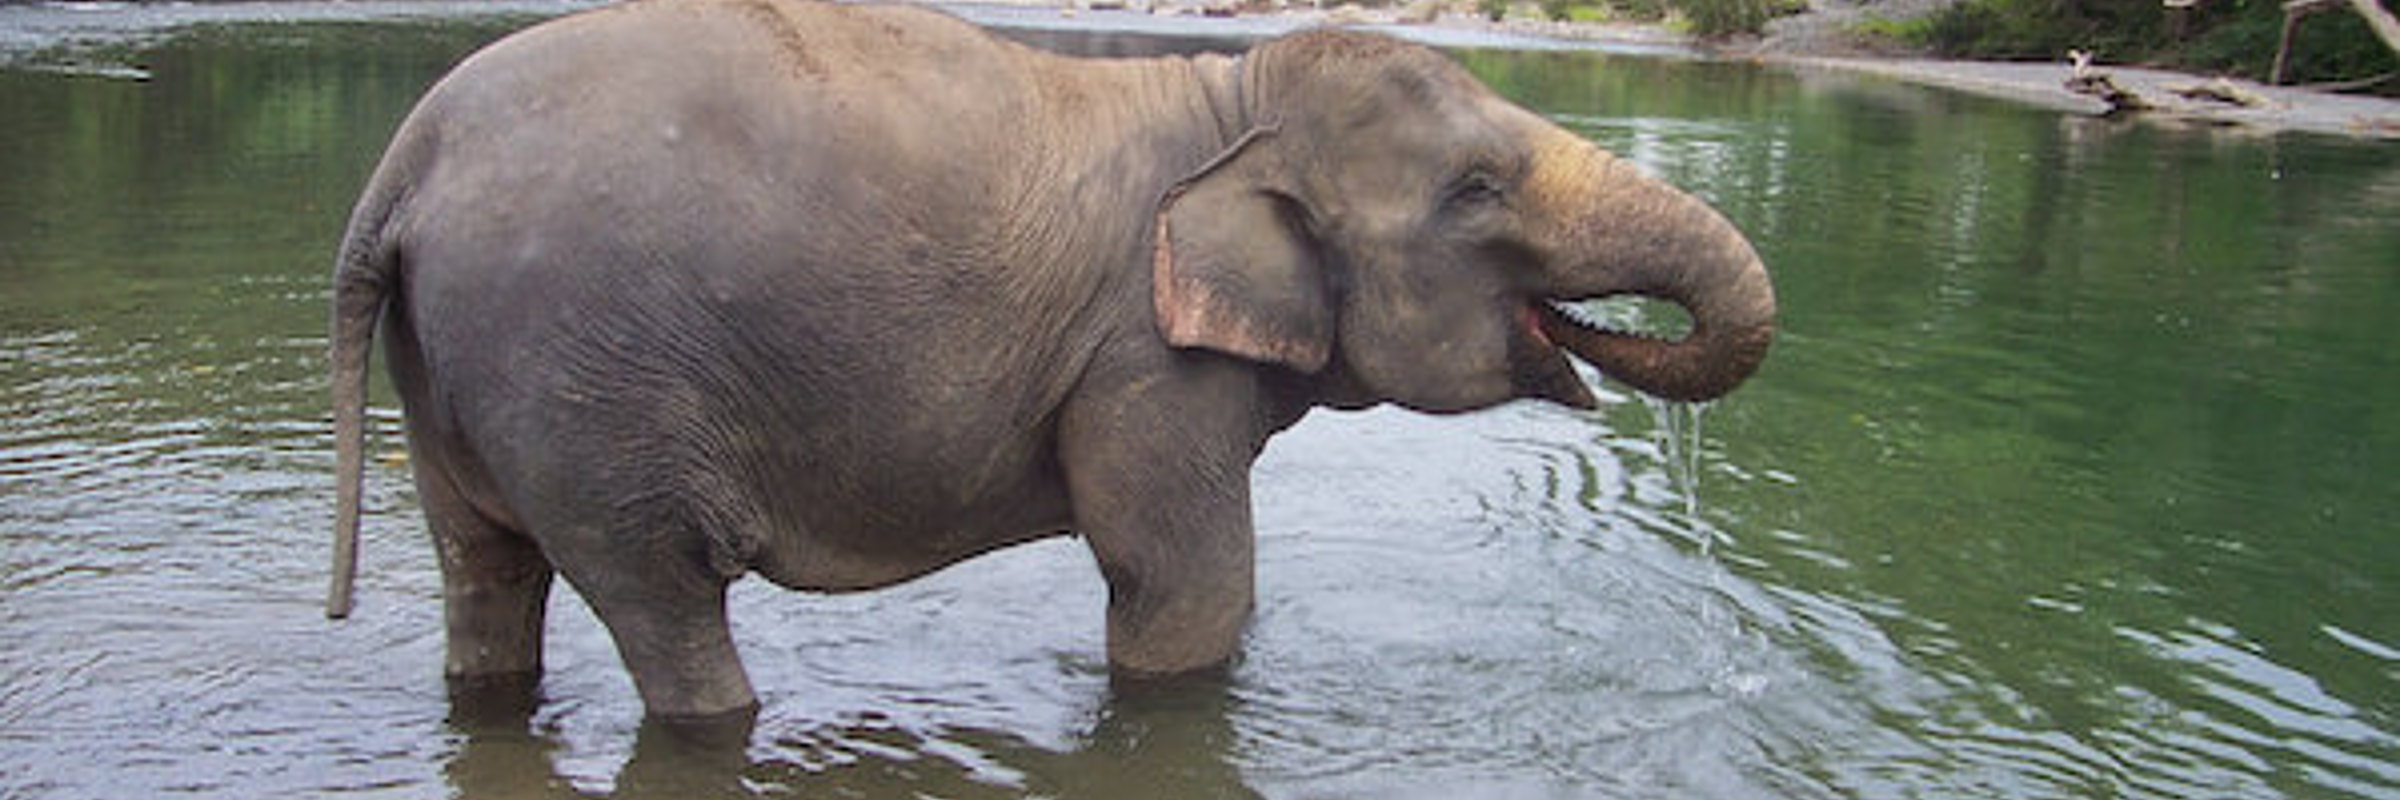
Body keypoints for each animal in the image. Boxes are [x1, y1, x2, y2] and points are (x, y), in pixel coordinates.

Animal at [326, 0, 1775, 720]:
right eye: (1475, 192)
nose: (1589, 335)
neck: (1223, 95)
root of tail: (402, 165)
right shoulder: (1141, 358)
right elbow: (1183, 582)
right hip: (581, 378)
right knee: (663, 595)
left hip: (462, 372)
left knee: (489, 575)